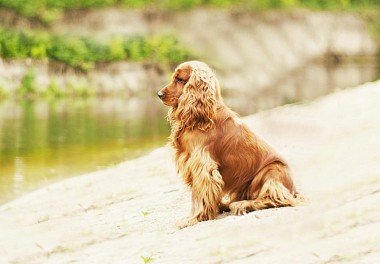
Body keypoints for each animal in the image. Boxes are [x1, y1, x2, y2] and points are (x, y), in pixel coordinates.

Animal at [156, 60, 302, 228]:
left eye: (180, 79)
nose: (159, 94)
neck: (203, 116)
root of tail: (293, 189)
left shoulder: (202, 166)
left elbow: (198, 196)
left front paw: (193, 218)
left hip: (271, 172)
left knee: (274, 199)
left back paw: (241, 204)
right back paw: (226, 204)